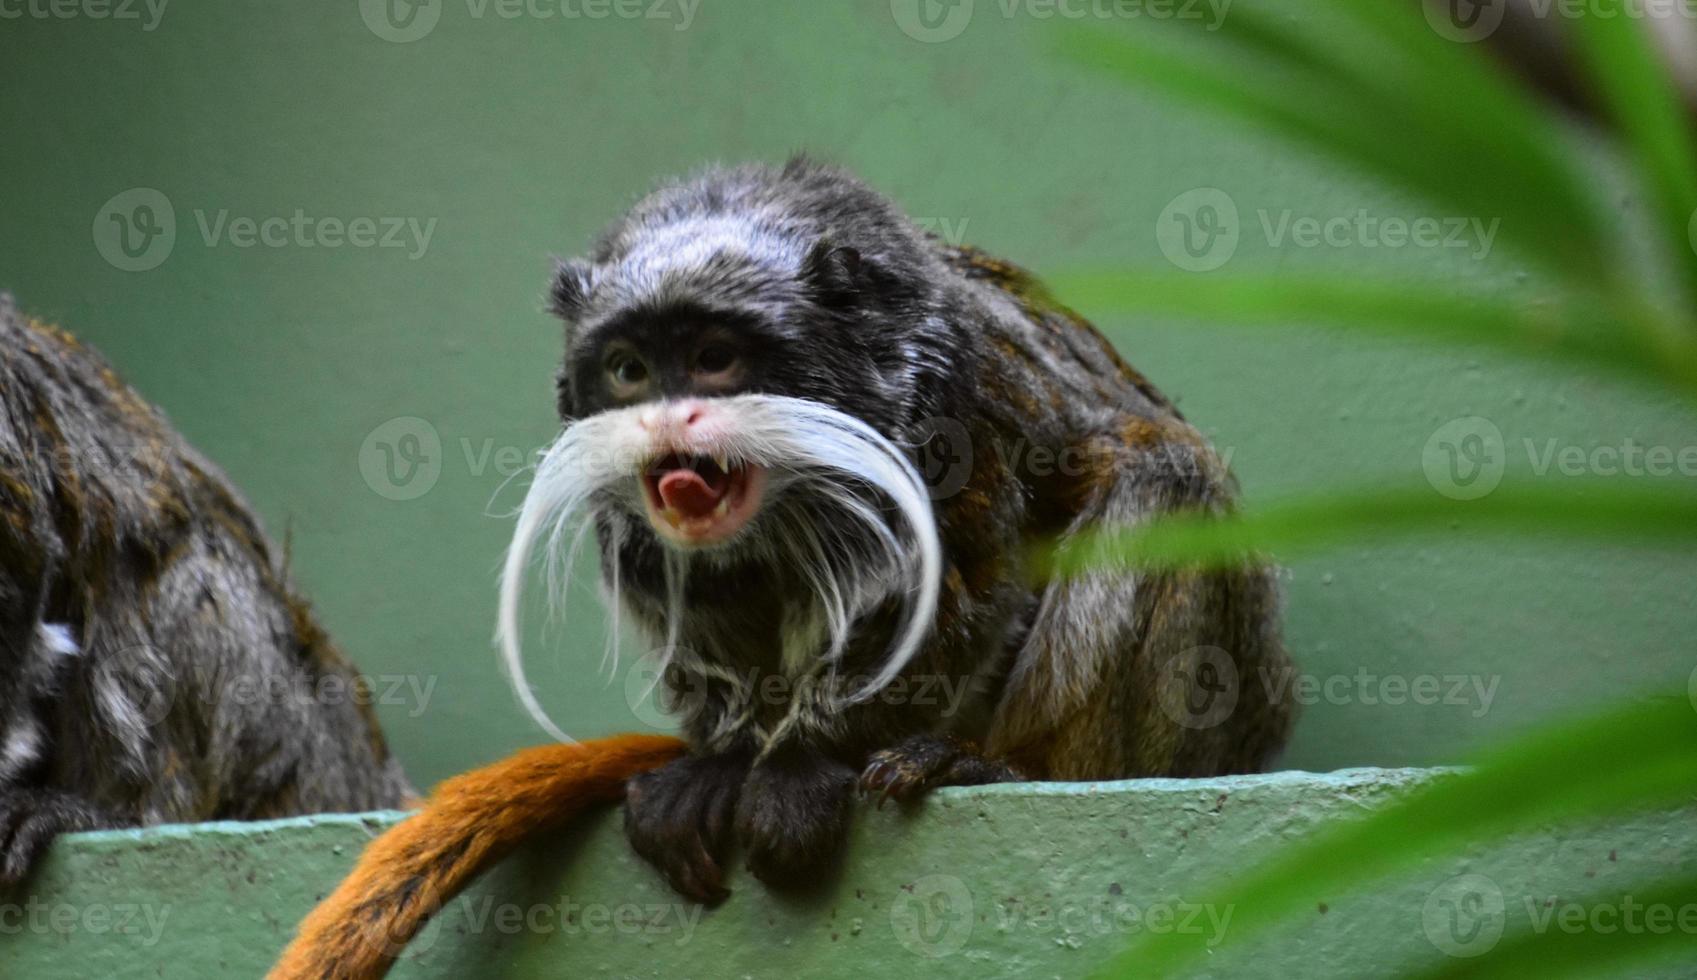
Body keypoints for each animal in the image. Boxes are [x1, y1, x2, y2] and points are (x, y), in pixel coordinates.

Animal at [495, 160, 1289, 903]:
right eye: (628, 370)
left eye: (713, 360)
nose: (664, 419)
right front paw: (724, 760)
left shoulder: (946, 399)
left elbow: (965, 590)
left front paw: (801, 764)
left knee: (1167, 481)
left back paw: (1007, 765)